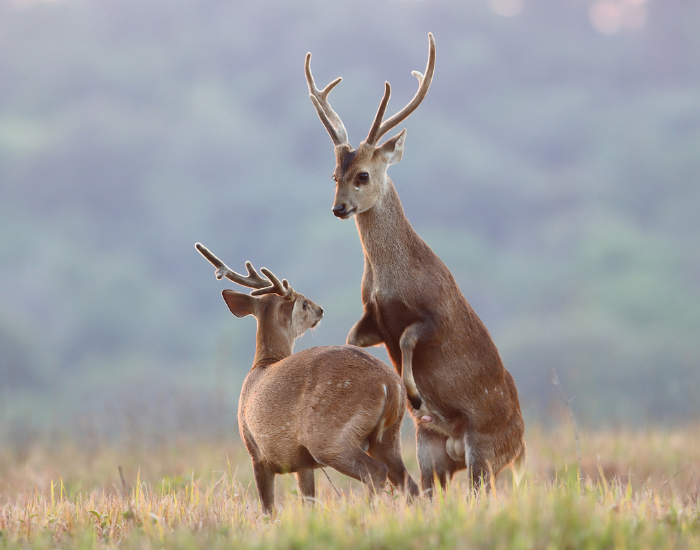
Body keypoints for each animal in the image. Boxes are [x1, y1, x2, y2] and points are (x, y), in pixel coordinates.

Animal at [195, 243, 419, 514]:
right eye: (303, 303)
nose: (320, 309)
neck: (261, 366)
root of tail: (390, 384)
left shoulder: (256, 451)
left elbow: (267, 508)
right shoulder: (301, 463)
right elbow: (308, 500)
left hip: (330, 437)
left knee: (376, 472)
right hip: (388, 435)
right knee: (409, 482)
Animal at [304, 33, 526, 493]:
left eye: (363, 175)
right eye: (334, 175)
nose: (338, 208)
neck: (392, 283)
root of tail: (523, 441)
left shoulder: (437, 314)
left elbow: (407, 337)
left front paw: (417, 394)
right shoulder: (372, 320)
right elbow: (353, 339)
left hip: (488, 453)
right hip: (432, 454)